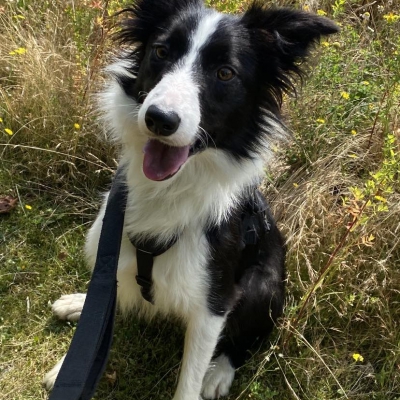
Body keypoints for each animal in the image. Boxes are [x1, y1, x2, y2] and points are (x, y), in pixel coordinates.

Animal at [43, 1, 338, 398]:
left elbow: (190, 378)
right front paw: (67, 366)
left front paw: (205, 375)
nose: (159, 119)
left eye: (225, 73)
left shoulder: (213, 303)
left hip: (262, 285)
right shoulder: (112, 247)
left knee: (251, 336)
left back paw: (220, 372)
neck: (169, 189)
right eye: (161, 52)